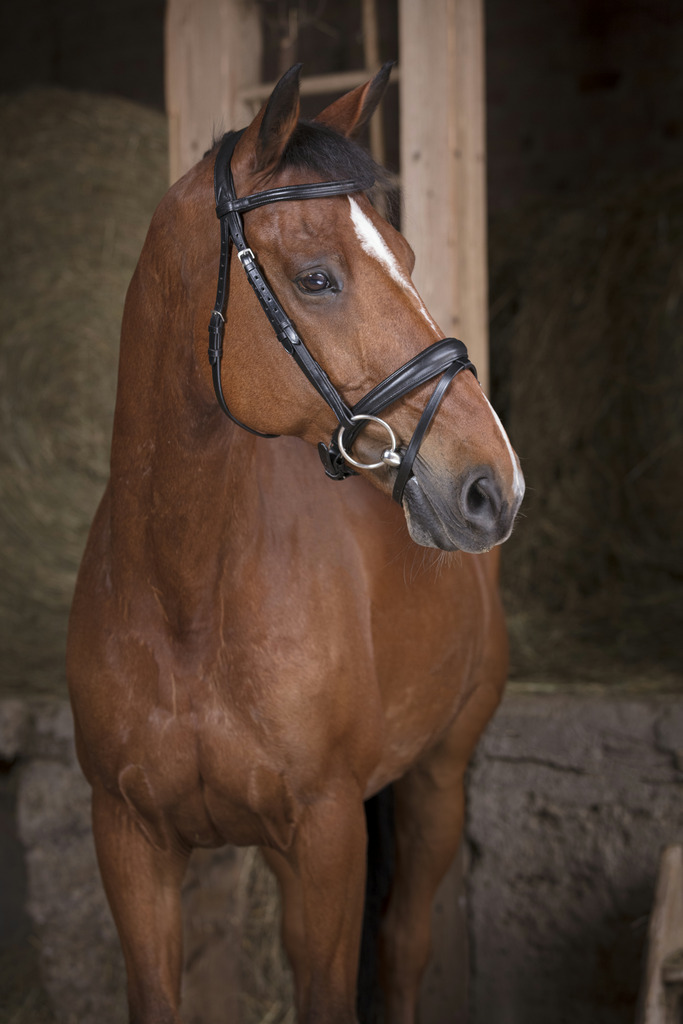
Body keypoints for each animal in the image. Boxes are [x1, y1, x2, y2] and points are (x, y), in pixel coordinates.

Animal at [67, 63, 524, 1024]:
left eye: (409, 260)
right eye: (316, 279)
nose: (491, 487)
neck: (184, 598)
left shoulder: (327, 832)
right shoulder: (129, 841)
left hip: (436, 782)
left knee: (404, 943)